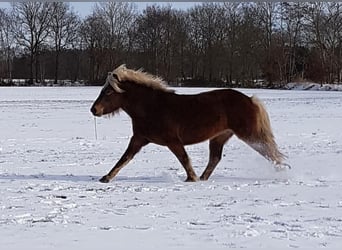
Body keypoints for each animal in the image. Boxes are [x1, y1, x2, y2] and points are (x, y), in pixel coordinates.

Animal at [89, 64, 284, 183]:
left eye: (108, 92)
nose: (94, 109)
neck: (151, 107)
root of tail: (250, 99)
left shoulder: (173, 141)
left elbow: (184, 159)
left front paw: (191, 178)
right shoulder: (139, 139)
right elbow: (124, 158)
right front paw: (106, 177)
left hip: (249, 135)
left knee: (270, 153)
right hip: (219, 137)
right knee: (215, 159)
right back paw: (204, 178)